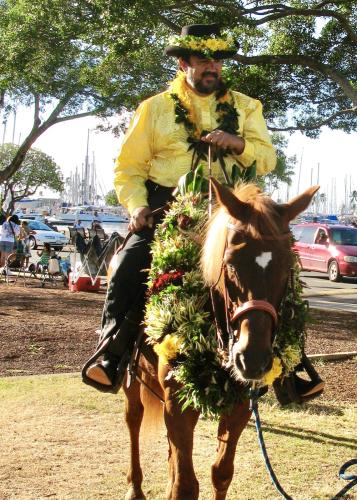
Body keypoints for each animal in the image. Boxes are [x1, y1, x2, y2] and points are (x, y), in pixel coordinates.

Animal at [120, 180, 318, 500]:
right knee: (133, 419)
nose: (252, 358)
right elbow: (186, 486)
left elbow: (221, 473)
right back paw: (135, 487)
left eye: (287, 265)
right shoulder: (176, 402)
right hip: (133, 379)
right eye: (230, 264)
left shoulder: (240, 405)